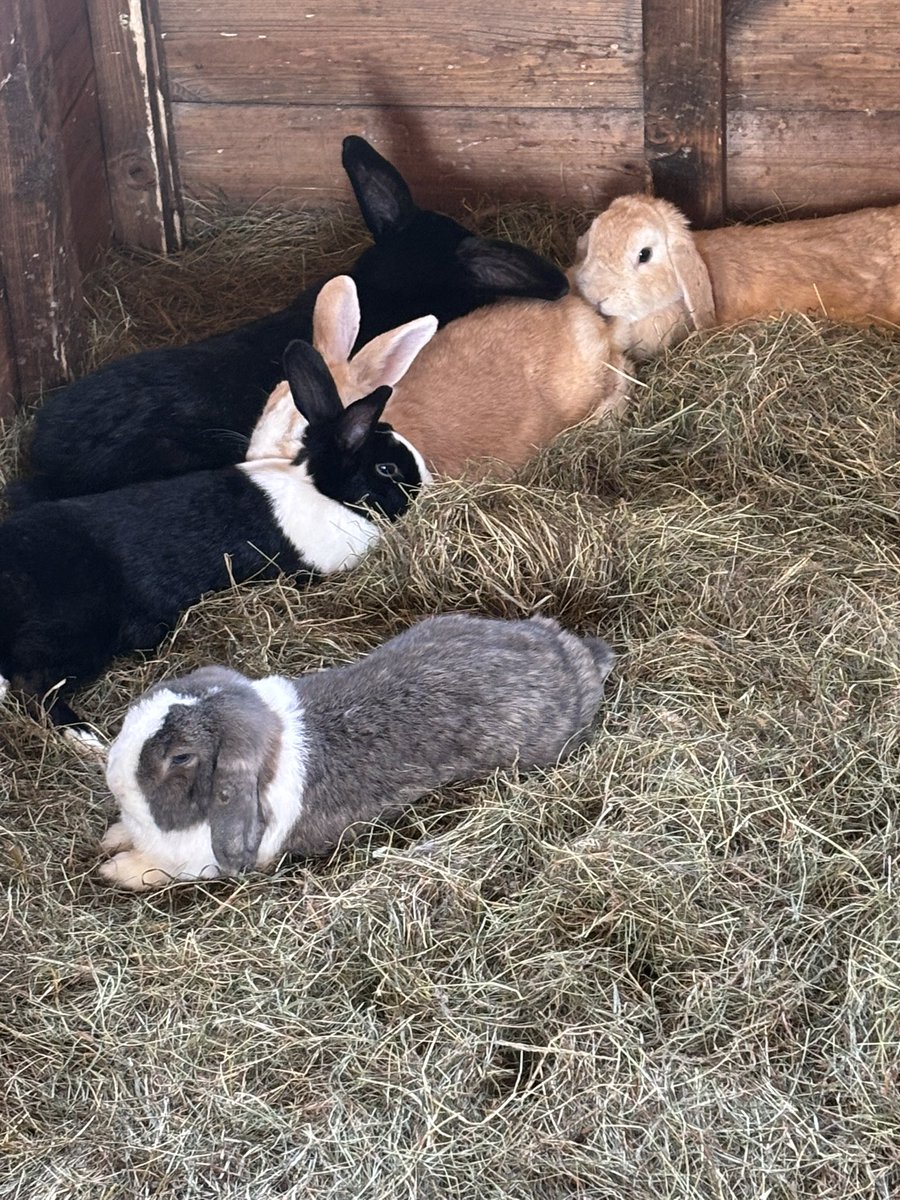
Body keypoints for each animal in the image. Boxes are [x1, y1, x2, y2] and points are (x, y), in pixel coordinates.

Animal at [0, 340, 429, 736]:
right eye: (387, 469)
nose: (426, 487)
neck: (320, 488)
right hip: (79, 628)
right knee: (34, 685)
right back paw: (85, 736)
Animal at [97, 613, 616, 889]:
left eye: (181, 757)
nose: (113, 777)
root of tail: (573, 656)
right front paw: (111, 839)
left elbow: (156, 868)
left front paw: (114, 868)